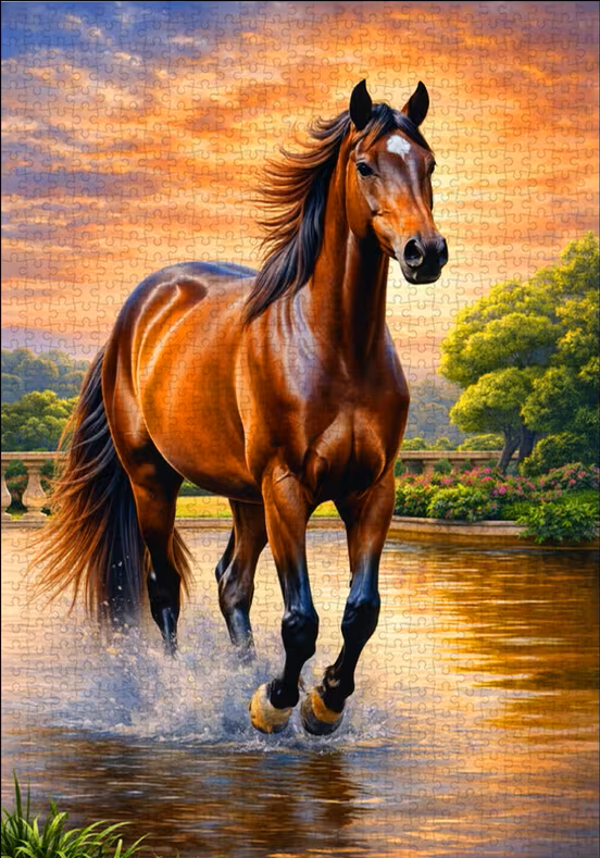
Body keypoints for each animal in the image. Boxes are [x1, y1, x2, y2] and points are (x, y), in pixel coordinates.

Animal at [35, 80, 447, 735]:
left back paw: (239, 677)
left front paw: (324, 701)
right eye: (365, 166)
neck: (337, 347)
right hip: (155, 481)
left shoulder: (372, 490)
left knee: (233, 584)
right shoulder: (287, 488)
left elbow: (361, 611)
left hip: (244, 495)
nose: (424, 253)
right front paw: (278, 701)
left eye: (428, 165)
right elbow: (301, 619)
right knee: (165, 589)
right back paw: (177, 689)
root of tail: (136, 312)